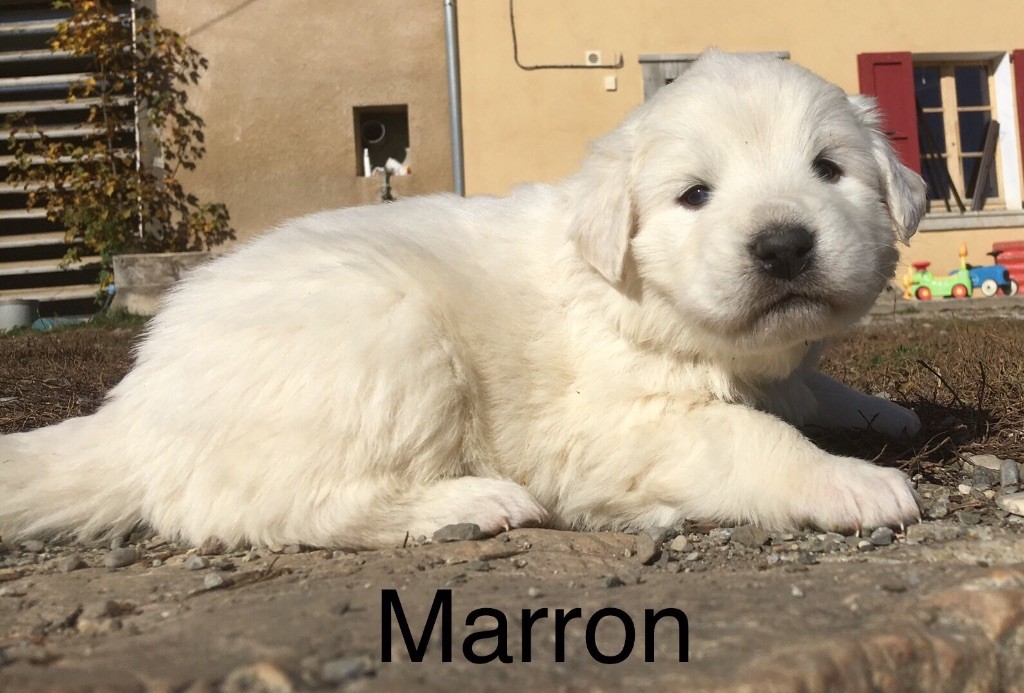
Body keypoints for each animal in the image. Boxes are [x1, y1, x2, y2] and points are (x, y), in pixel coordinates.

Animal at [0, 51, 926, 549]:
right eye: (694, 195)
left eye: (829, 170)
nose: (783, 245)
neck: (638, 298)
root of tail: (137, 407)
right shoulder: (620, 427)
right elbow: (755, 436)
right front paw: (852, 481)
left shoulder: (772, 367)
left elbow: (809, 387)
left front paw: (890, 412)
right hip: (389, 337)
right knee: (282, 503)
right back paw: (478, 501)